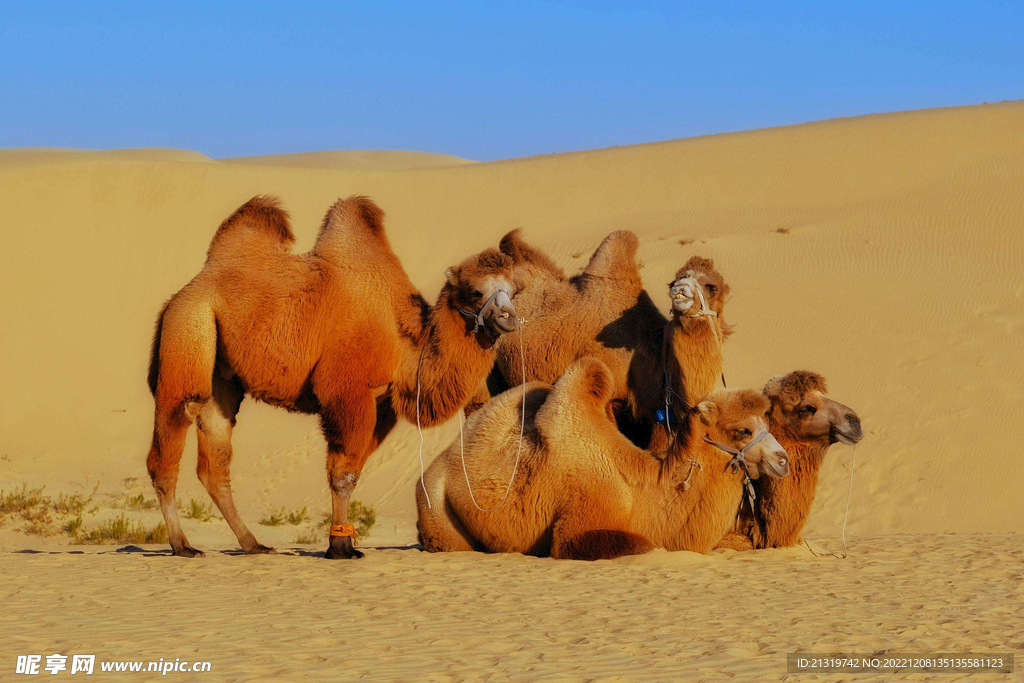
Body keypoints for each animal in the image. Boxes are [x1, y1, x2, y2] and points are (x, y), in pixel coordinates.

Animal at [144, 194, 520, 557]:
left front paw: (344, 542)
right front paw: (340, 547)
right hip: (189, 326)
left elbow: (353, 472)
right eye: (475, 291)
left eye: (515, 291)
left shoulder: (381, 405)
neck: (404, 342)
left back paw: (253, 544)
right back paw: (183, 545)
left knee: (214, 460)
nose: (509, 317)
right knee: (174, 429)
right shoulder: (348, 391)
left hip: (223, 377)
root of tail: (189, 288)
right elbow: (344, 475)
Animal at [417, 358, 790, 561]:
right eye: (742, 430)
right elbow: (642, 544)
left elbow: (741, 542)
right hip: (436, 505)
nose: (783, 460)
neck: (641, 490)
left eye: (767, 422)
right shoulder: (579, 525)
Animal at [468, 229, 729, 454]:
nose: (679, 292)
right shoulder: (611, 398)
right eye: (676, 280)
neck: (652, 355)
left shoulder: (654, 415)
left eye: (712, 287)